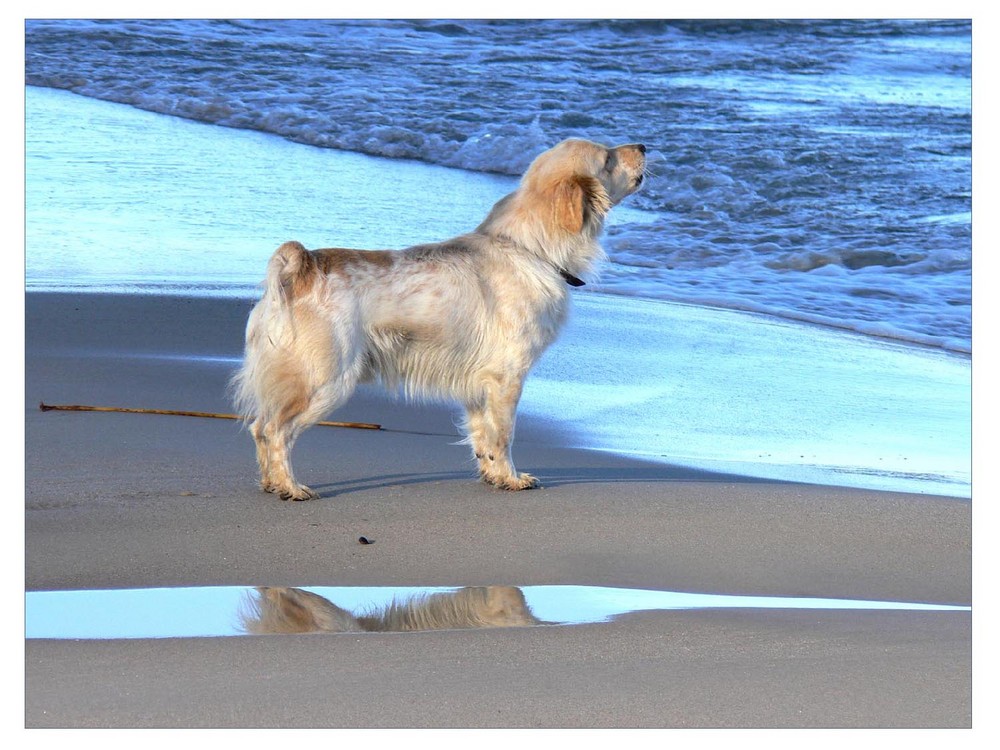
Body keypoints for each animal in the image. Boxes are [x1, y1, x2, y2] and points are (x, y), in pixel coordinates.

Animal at [230, 142, 644, 506]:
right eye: (608, 159)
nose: (643, 146)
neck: (531, 250)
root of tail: (300, 268)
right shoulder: (507, 379)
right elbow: (504, 436)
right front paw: (512, 478)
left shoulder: (479, 385)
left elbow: (482, 437)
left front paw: (494, 476)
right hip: (327, 382)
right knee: (276, 431)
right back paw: (291, 487)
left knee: (259, 428)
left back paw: (271, 483)